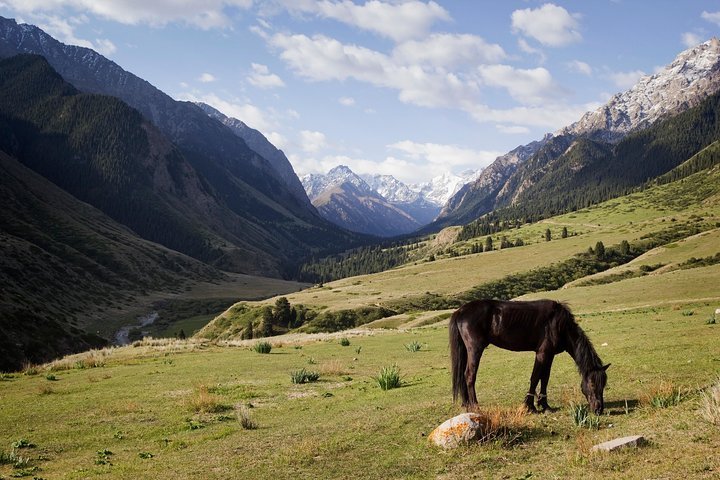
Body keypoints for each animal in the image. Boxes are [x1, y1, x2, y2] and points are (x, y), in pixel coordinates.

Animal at [450, 298, 608, 414]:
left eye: (604, 384)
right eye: (592, 384)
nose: (599, 409)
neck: (558, 324)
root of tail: (460, 311)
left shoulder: (550, 355)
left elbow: (545, 378)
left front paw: (545, 405)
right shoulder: (542, 353)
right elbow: (535, 378)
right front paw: (529, 406)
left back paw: (467, 405)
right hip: (475, 349)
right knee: (469, 375)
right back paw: (476, 407)